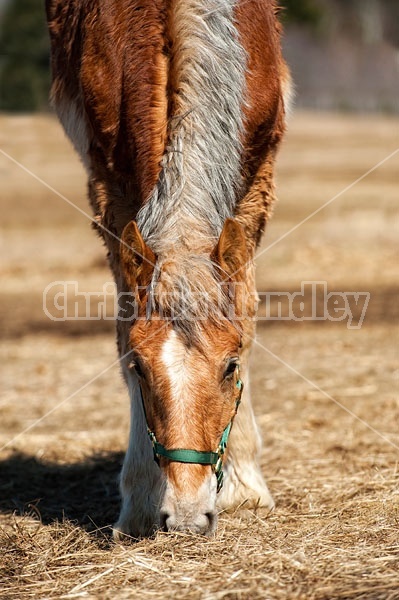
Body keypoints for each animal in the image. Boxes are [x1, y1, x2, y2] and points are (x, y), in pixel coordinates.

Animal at [46, 0, 290, 536]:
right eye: (140, 369)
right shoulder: (110, 192)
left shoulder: (257, 184)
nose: (186, 514)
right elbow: (123, 329)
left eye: (230, 366)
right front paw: (138, 499)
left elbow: (245, 318)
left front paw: (246, 487)